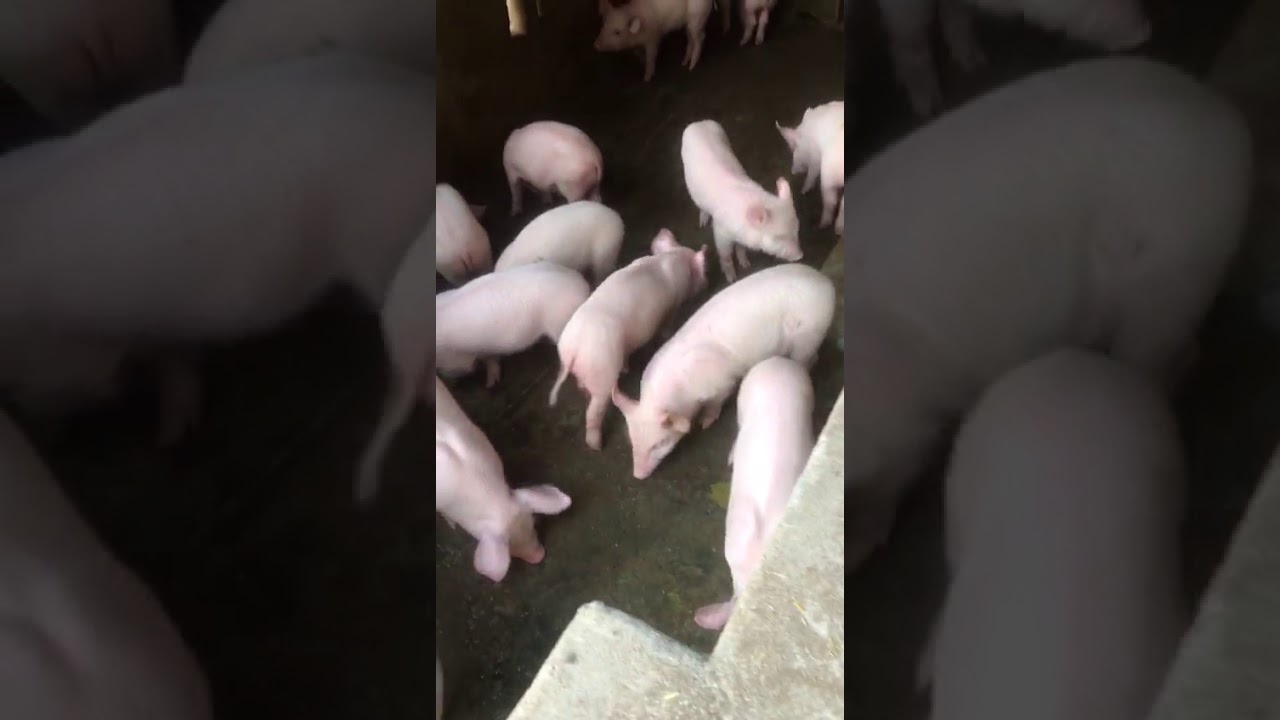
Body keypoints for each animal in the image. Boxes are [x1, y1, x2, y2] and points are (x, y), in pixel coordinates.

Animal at [549, 229, 709, 450]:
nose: (706, 284)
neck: (673, 258)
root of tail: (573, 349)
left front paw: (626, 368)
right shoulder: (673, 305)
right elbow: (667, 323)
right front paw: (667, 334)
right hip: (603, 371)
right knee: (594, 411)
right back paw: (597, 445)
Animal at [613, 263, 834, 479]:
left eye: (659, 443)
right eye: (632, 440)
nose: (638, 476)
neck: (683, 394)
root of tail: (827, 284)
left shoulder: (722, 384)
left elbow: (715, 404)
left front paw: (705, 424)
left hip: (810, 333)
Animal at [681, 119, 802, 282]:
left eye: (797, 229)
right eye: (778, 237)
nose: (800, 256)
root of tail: (698, 123)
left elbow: (740, 248)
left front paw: (746, 264)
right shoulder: (720, 231)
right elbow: (725, 254)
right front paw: (731, 278)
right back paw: (702, 222)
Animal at [775, 100, 846, 229]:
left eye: (794, 148)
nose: (793, 171)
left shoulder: (816, 158)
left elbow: (812, 173)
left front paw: (803, 191)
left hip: (828, 172)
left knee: (831, 201)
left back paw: (824, 225)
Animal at [841, 58, 1250, 572]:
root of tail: (1231, 123)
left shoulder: (895, 417)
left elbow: (890, 471)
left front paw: (857, 548)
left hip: (1175, 268)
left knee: (1161, 354)